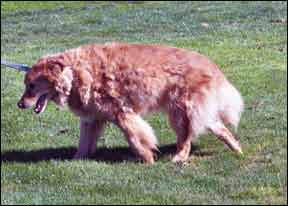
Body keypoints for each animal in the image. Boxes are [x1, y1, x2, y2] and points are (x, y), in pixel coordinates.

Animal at [17, 42, 243, 164]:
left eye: (32, 86)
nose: (19, 104)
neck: (76, 72)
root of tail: (211, 65)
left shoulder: (122, 113)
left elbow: (135, 138)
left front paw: (147, 158)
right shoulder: (91, 118)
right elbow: (83, 143)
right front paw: (75, 160)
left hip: (180, 111)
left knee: (186, 139)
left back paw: (179, 158)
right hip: (193, 111)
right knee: (220, 128)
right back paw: (237, 150)